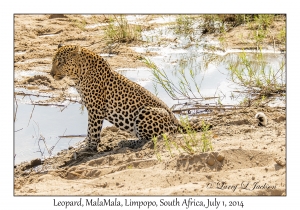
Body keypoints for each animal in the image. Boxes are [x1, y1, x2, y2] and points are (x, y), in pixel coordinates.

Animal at [50, 45, 189, 152]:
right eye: (52, 62)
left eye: (61, 62)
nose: (51, 74)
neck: (79, 76)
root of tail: (176, 121)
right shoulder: (92, 109)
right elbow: (89, 130)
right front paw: (87, 145)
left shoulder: (95, 109)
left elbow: (93, 130)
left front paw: (89, 147)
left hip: (145, 112)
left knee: (152, 138)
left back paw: (125, 142)